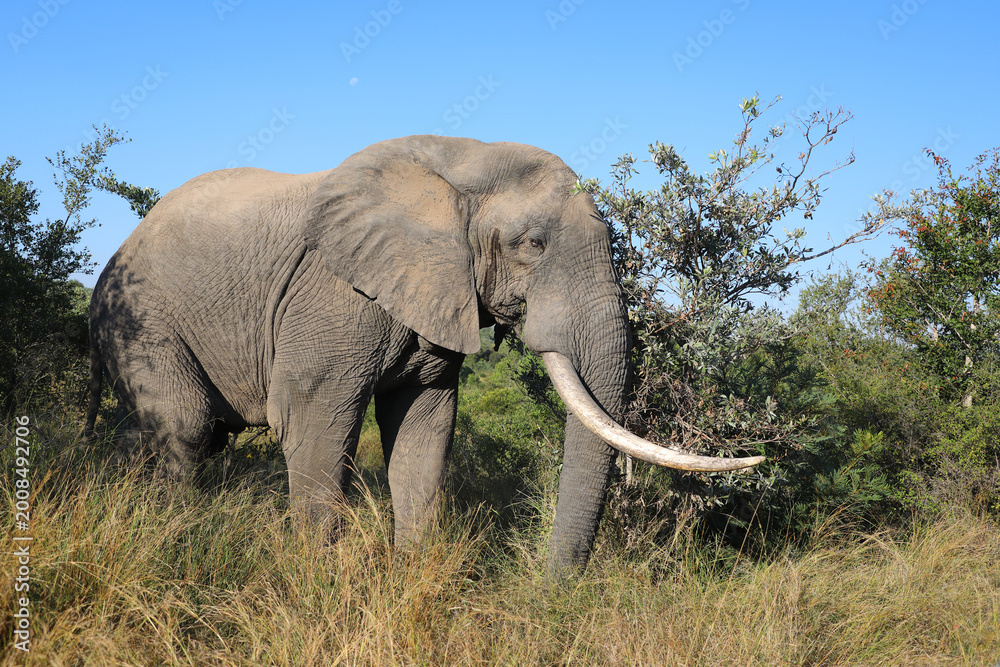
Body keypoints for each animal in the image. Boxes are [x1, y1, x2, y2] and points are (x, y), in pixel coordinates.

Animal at [84, 135, 762, 575]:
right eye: (531, 244)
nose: (554, 594)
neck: (458, 161)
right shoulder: (333, 295)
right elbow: (312, 422)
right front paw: (315, 585)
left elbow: (424, 428)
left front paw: (413, 577)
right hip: (142, 319)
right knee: (185, 425)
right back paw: (168, 535)